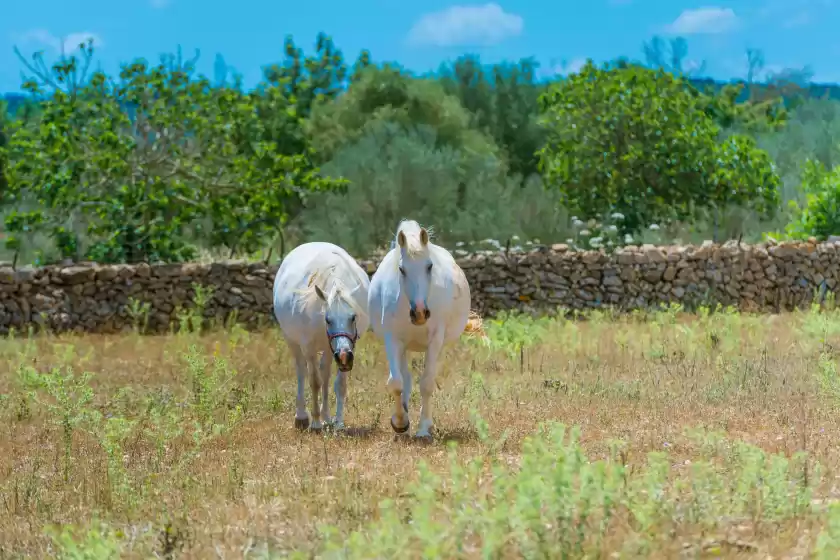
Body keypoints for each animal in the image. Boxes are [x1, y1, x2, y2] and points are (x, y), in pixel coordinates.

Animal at [274, 243, 370, 430]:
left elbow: (339, 384)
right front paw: (316, 423)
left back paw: (327, 416)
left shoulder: (348, 348)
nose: (343, 355)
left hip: (328, 348)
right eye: (328, 319)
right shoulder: (308, 347)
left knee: (325, 373)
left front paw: (338, 423)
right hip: (292, 341)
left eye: (353, 317)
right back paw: (302, 417)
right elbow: (314, 381)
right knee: (301, 371)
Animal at [370, 221, 472, 440]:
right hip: (402, 346)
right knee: (404, 378)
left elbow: (426, 384)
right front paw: (400, 423)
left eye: (429, 266)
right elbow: (396, 383)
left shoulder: (435, 341)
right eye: (401, 269)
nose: (419, 313)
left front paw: (424, 429)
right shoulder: (392, 340)